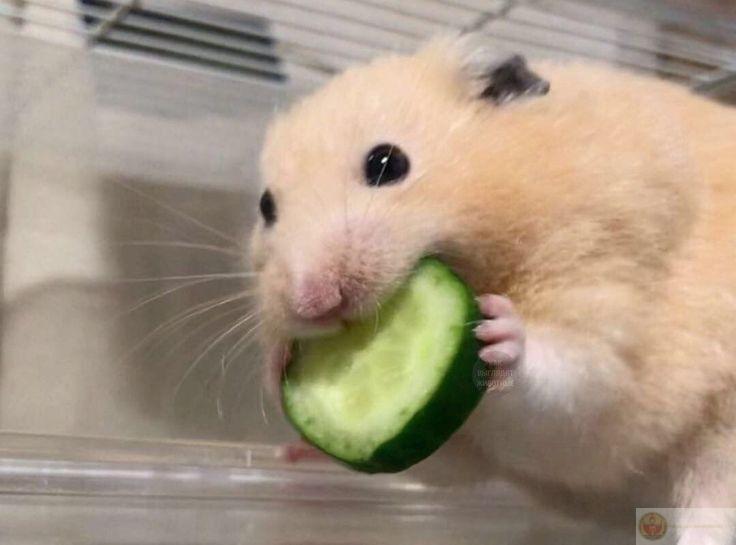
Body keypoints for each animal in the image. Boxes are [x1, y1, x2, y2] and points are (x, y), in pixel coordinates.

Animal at [249, 35, 736, 543]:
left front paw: (498, 331)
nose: (314, 303)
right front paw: (279, 374)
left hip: (722, 440)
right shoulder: (455, 441)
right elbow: (438, 466)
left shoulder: (605, 288)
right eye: (266, 206)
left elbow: (575, 376)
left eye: (386, 163)